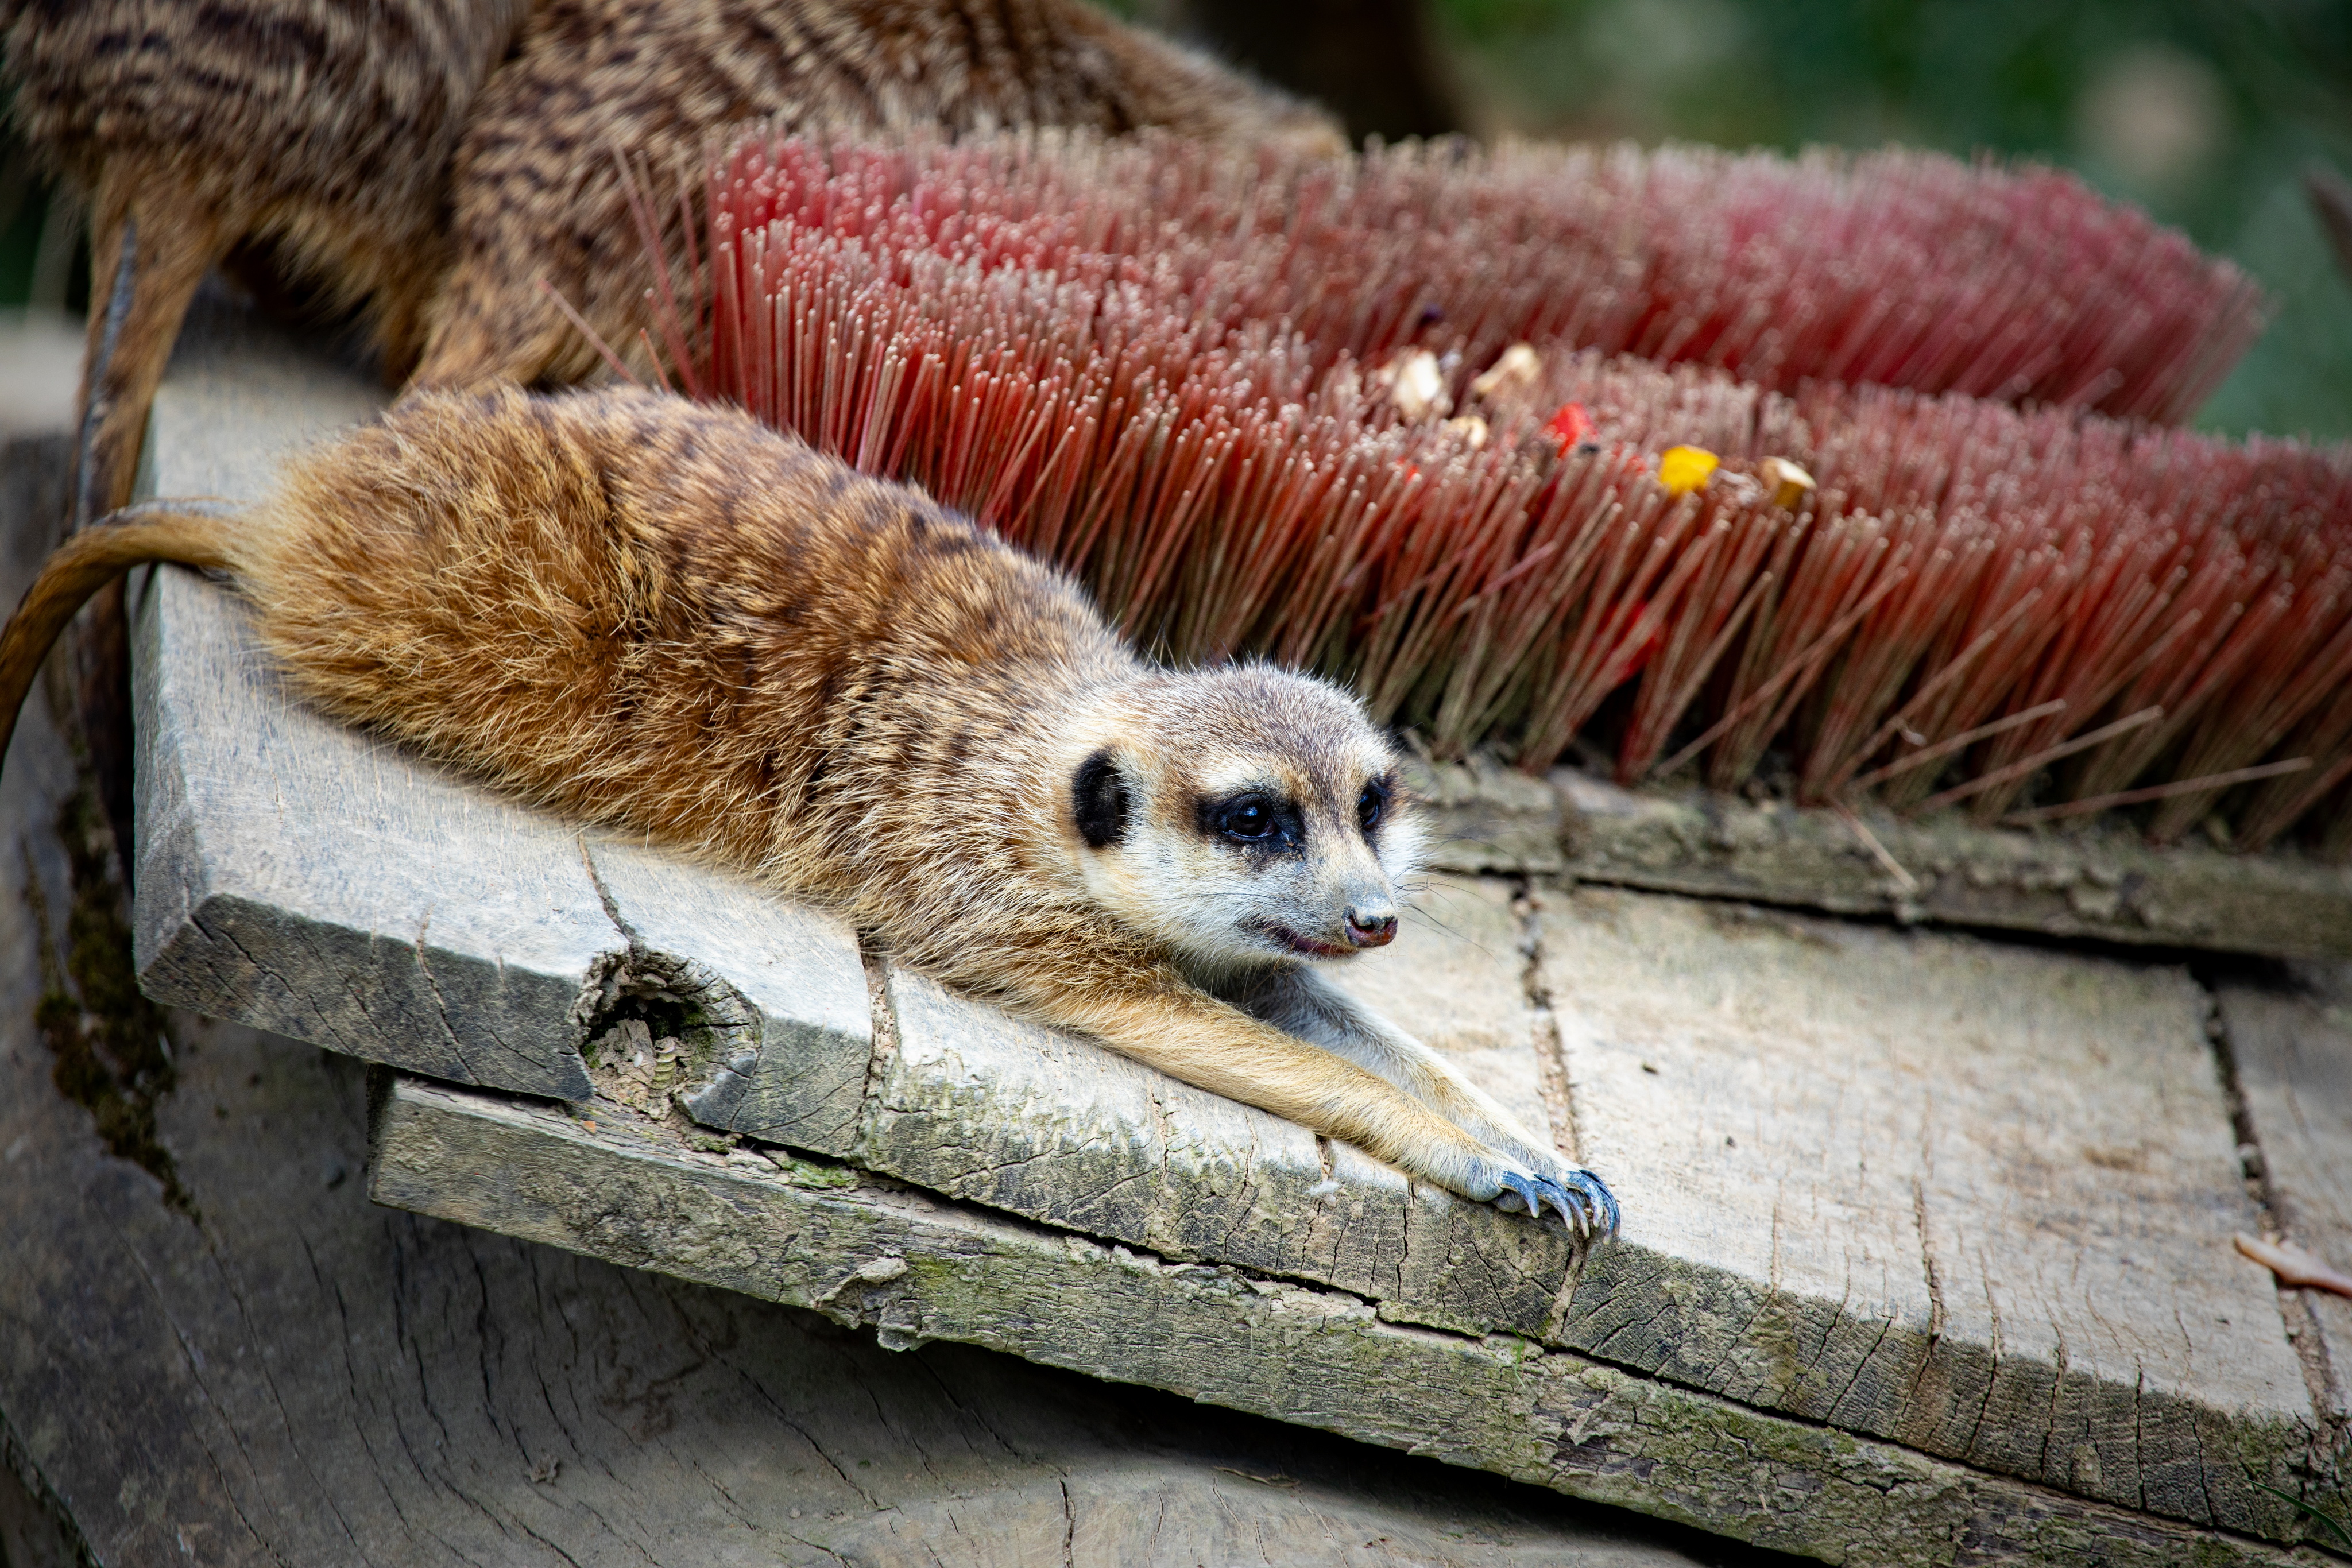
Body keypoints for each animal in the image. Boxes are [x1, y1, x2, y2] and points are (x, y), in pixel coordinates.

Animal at [0, 385, 1616, 1233]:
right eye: (1255, 818)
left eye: (1369, 801)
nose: (1375, 914)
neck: (1041, 760)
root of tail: (298, 513)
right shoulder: (1005, 909)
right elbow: (1223, 1038)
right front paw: (1481, 1159)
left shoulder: (1254, 950)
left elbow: (1331, 1017)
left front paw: (1538, 1149)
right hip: (470, 609)